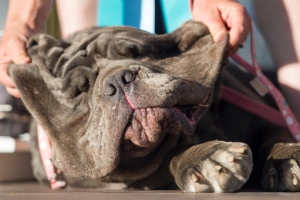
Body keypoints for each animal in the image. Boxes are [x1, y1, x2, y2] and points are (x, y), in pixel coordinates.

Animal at [8, 21, 300, 193]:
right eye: (80, 89)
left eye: (138, 52)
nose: (117, 80)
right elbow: (168, 158)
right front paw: (205, 158)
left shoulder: (262, 118)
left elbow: (276, 134)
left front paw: (285, 159)